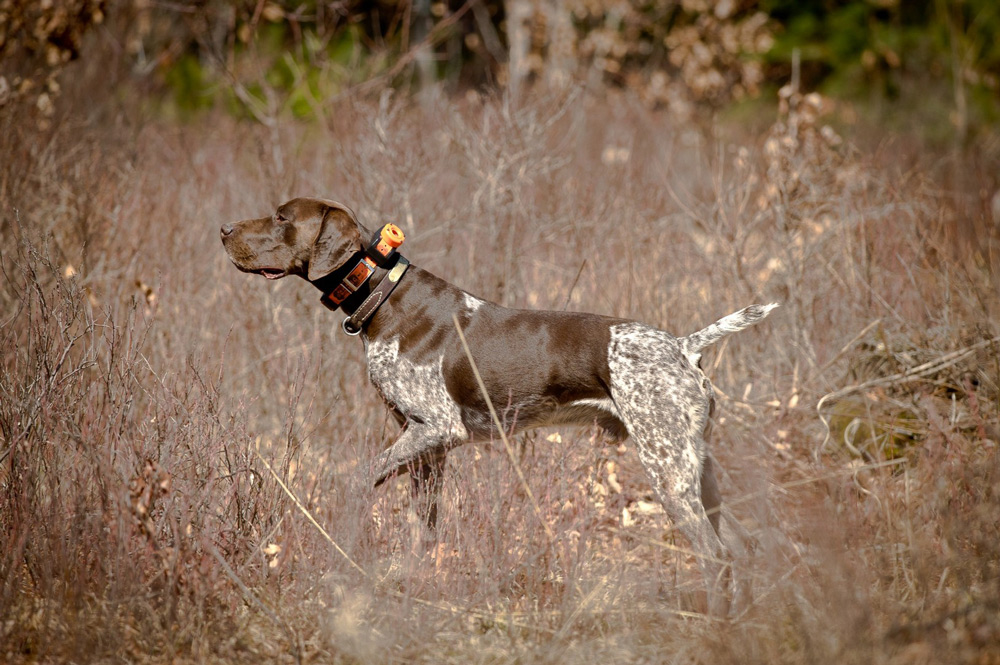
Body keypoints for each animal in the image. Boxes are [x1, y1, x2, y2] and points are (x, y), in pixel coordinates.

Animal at [223, 198, 776, 616]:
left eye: (281, 217)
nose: (224, 229)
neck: (382, 293)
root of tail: (684, 347)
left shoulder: (438, 430)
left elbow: (357, 478)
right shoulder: (427, 450)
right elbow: (424, 532)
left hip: (668, 468)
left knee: (716, 557)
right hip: (694, 468)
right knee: (741, 547)